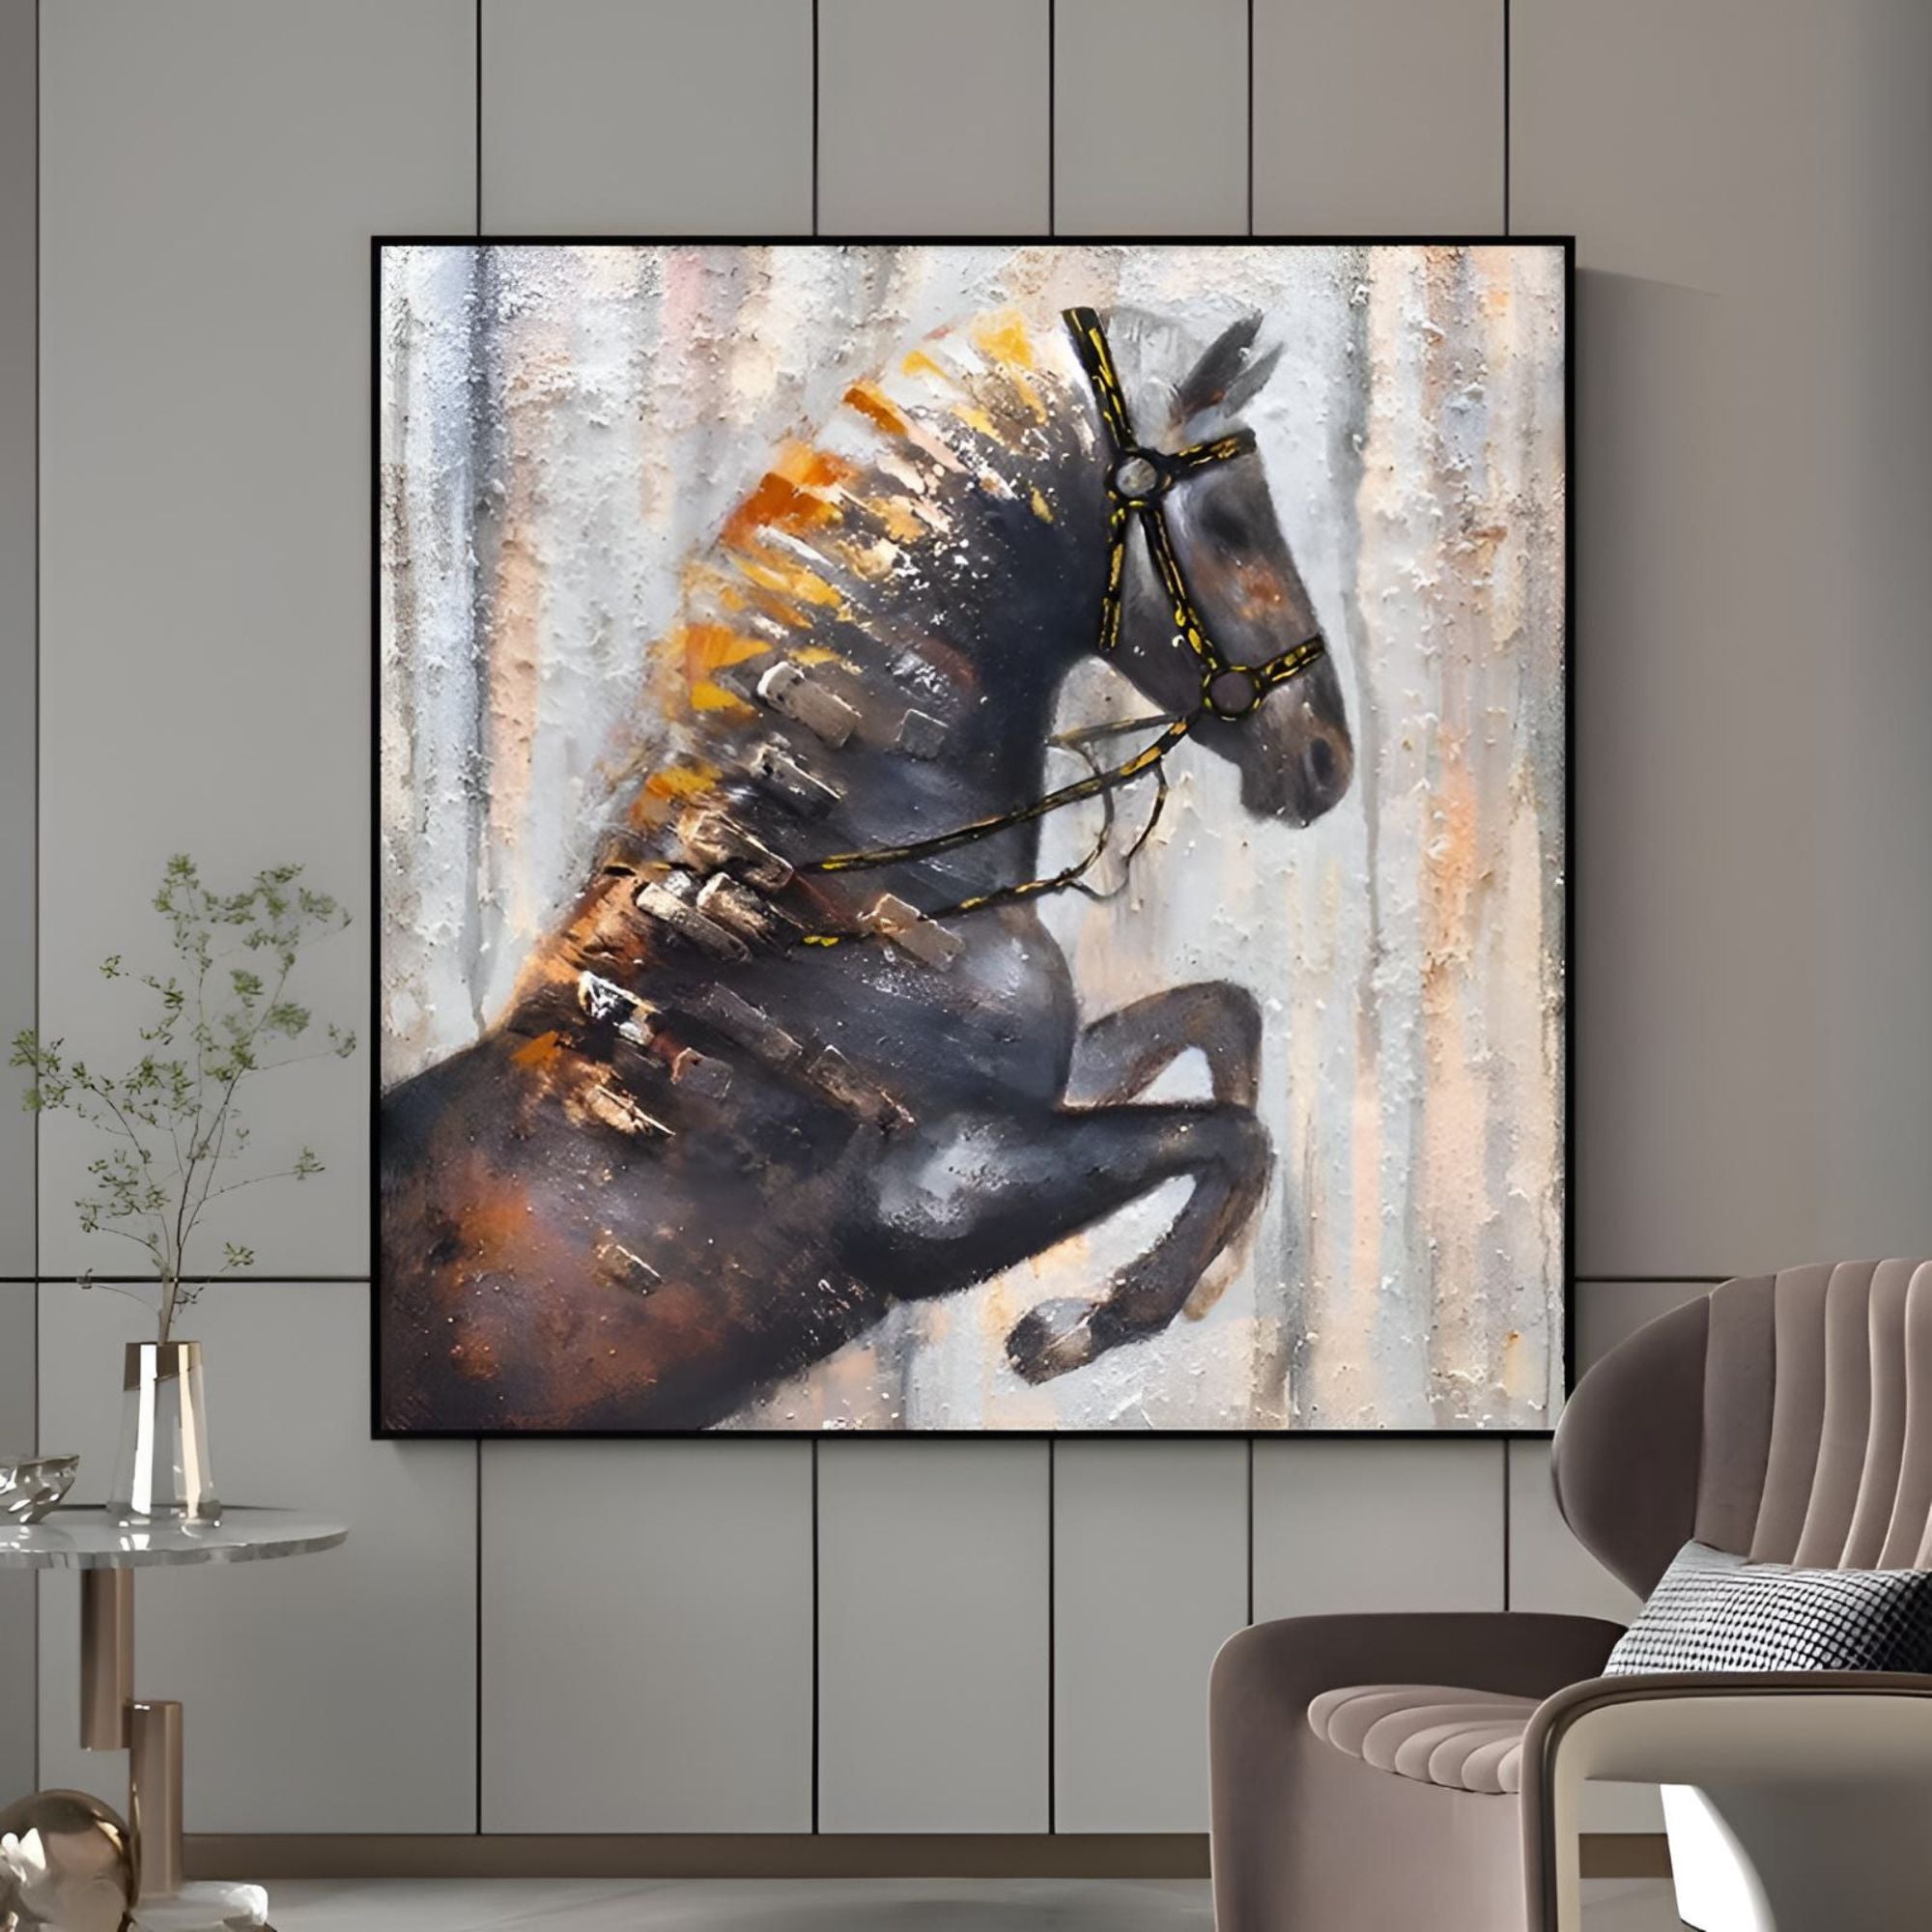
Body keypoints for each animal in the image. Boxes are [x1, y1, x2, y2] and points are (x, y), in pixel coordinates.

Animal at [378, 299, 1354, 1432]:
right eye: (1232, 525)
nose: (1324, 757)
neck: (839, 893)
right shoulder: (936, 1200)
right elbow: (1227, 1132)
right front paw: (1081, 1325)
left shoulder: (1041, 1102)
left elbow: (1220, 1019)